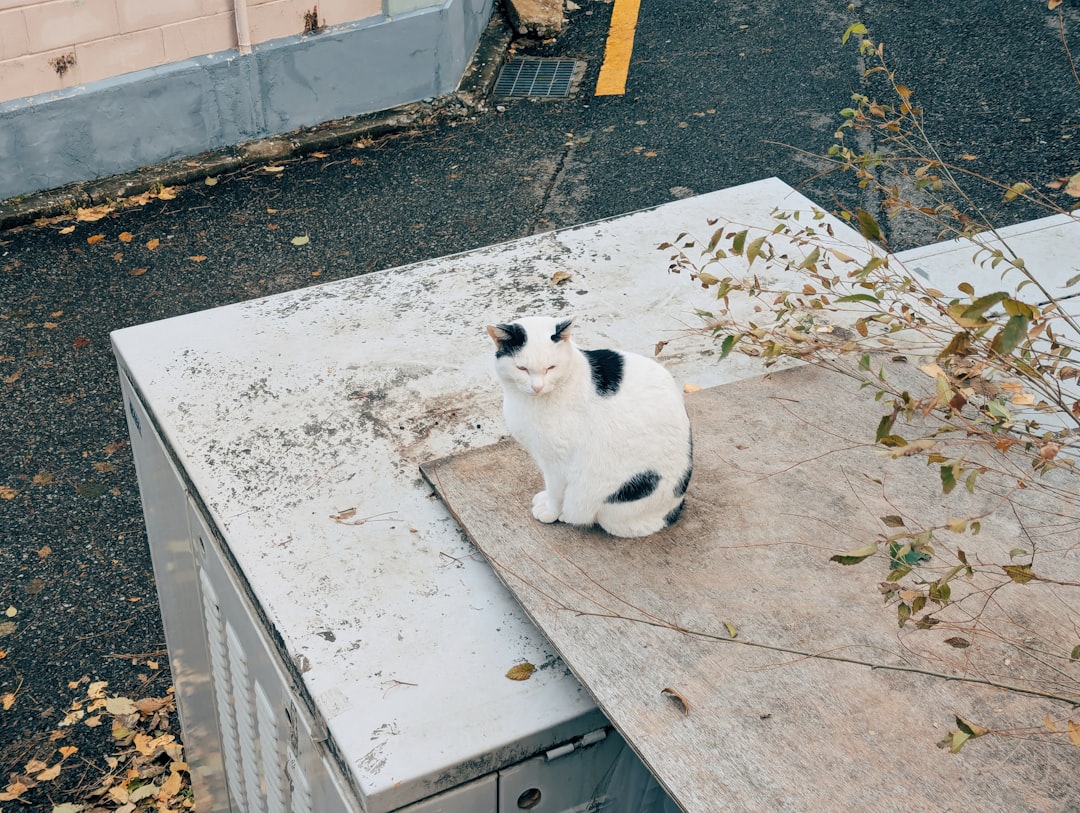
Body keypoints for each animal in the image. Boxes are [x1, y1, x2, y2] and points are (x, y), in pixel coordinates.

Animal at [488, 317, 691, 539]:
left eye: (551, 367)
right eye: (522, 368)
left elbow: (555, 491)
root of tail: (674, 508)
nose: (537, 387)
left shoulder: (556, 462)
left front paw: (550, 511)